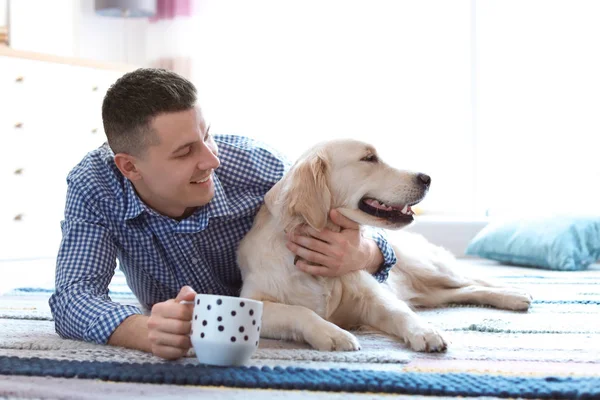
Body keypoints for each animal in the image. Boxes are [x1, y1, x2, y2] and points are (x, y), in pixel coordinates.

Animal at [237, 139, 532, 352]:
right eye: (369, 158)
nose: (427, 178)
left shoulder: (373, 296)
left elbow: (401, 313)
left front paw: (426, 332)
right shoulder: (254, 302)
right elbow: (300, 311)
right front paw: (332, 334)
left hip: (429, 268)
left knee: (474, 279)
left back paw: (515, 294)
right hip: (431, 290)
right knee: (465, 290)